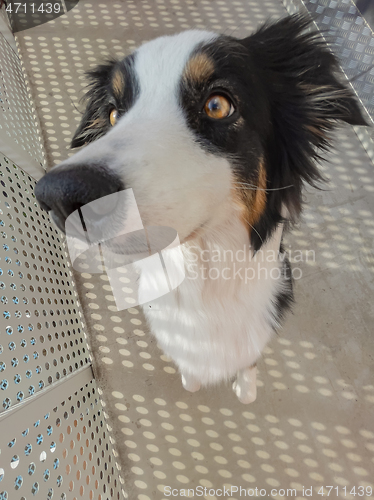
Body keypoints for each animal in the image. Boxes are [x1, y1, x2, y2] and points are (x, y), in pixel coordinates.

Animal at [35, 14, 368, 402]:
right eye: (114, 114)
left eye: (217, 105)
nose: (59, 195)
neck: (204, 279)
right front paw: (192, 379)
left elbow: (248, 366)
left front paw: (245, 388)